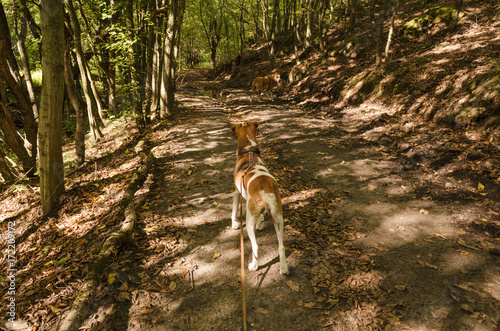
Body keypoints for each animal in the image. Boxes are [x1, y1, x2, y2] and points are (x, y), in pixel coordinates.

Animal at [231, 122, 290, 274]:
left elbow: (233, 211)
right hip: (278, 218)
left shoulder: (236, 192)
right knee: (281, 246)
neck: (249, 152)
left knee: (255, 246)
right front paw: (261, 223)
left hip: (249, 221)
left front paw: (234, 224)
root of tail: (265, 189)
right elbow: (262, 215)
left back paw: (254, 265)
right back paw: (284, 268)